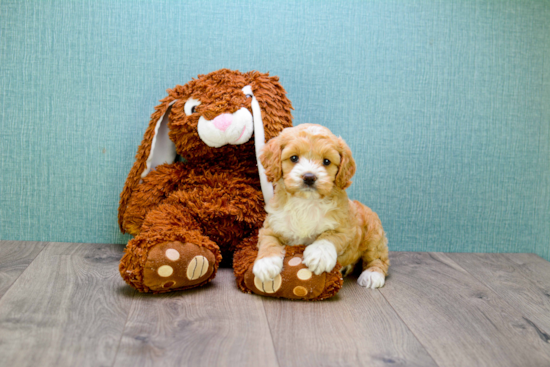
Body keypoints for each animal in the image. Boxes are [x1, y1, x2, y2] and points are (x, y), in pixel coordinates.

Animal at [252, 124, 390, 290]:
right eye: (294, 158)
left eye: (326, 161)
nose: (309, 177)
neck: (306, 202)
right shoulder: (272, 225)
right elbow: (268, 242)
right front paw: (266, 265)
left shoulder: (345, 229)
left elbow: (328, 237)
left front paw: (319, 256)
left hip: (374, 235)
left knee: (378, 258)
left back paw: (372, 275)